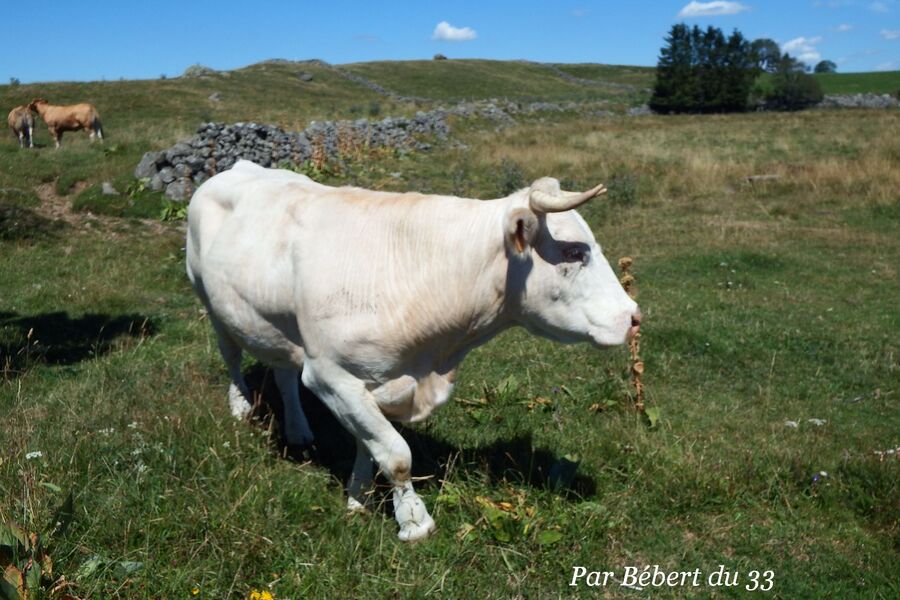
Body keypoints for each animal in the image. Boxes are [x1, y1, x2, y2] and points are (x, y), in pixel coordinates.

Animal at [188, 158, 640, 540]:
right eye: (574, 251)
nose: (633, 316)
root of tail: (237, 166)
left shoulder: (373, 380)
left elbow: (369, 443)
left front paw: (358, 498)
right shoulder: (330, 374)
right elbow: (395, 453)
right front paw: (413, 521)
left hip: (276, 326)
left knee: (282, 372)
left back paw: (298, 430)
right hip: (209, 299)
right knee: (231, 356)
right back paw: (240, 407)